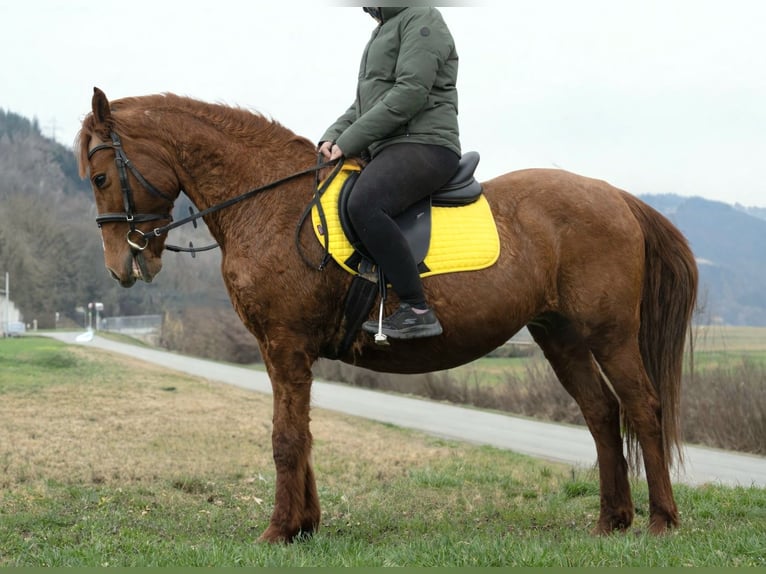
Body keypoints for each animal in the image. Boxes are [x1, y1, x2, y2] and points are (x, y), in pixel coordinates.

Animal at [77, 88, 697, 542]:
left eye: (101, 177)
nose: (122, 266)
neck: (269, 203)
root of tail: (615, 195)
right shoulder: (284, 352)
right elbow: (301, 434)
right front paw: (306, 526)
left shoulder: (285, 344)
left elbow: (285, 437)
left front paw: (279, 531)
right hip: (560, 336)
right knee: (601, 414)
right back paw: (611, 521)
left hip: (610, 334)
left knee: (642, 409)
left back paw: (661, 521)